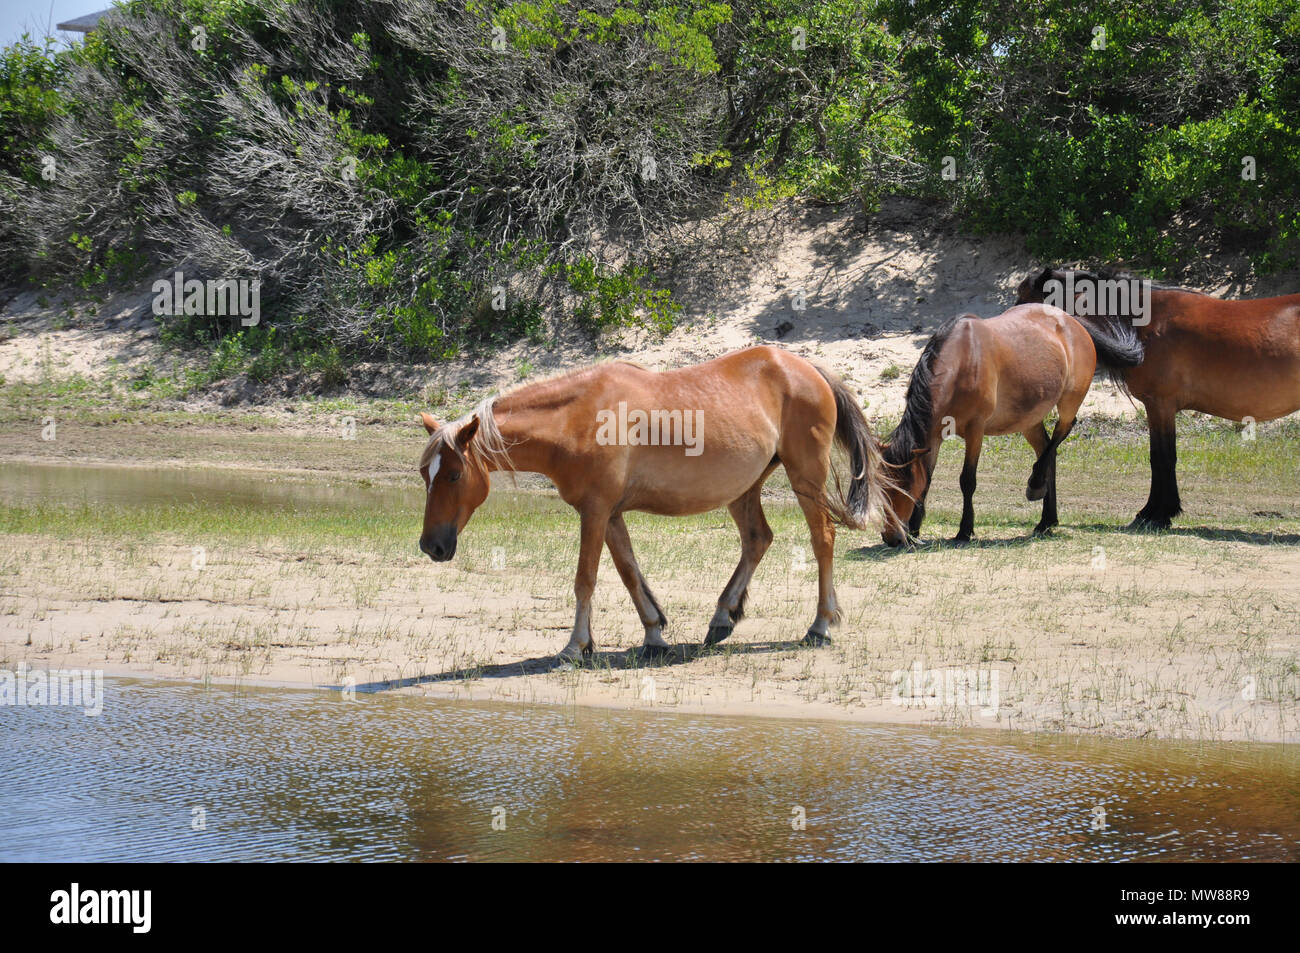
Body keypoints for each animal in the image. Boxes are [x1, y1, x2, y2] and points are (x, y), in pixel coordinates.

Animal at [415, 346, 894, 661]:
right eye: (425, 474)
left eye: (454, 475)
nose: (431, 546)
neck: (577, 419)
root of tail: (806, 367)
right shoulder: (609, 514)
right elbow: (629, 574)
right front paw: (654, 634)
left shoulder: (594, 512)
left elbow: (585, 579)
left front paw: (575, 646)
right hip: (745, 488)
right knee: (758, 539)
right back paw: (722, 619)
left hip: (804, 477)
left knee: (822, 539)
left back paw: (820, 625)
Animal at [880, 303, 1143, 546]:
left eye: (901, 489)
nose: (891, 537)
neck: (962, 361)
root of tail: (1071, 321)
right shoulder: (933, 436)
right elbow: (926, 480)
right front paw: (915, 530)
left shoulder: (975, 431)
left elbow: (967, 481)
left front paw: (964, 530)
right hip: (1029, 419)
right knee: (1047, 450)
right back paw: (1047, 520)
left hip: (1069, 402)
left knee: (1061, 433)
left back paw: (1036, 485)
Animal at [1017, 267, 1300, 528]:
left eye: (1024, 298)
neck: (1146, 322)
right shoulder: (1161, 407)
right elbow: (1161, 456)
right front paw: (1159, 511)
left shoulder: (1159, 404)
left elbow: (1162, 458)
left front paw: (1156, 513)